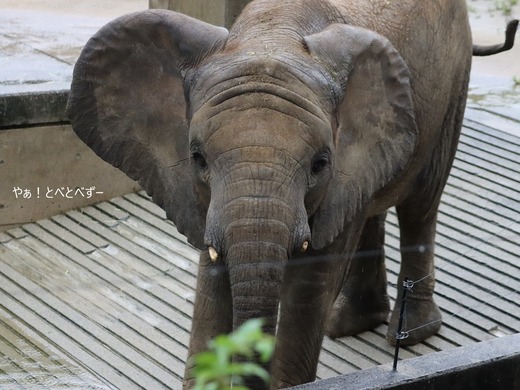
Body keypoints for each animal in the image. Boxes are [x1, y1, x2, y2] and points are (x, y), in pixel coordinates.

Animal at [67, 0, 516, 388]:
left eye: (319, 164)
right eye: (198, 159)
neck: (272, 38)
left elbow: (310, 282)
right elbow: (212, 279)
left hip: (453, 83)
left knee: (420, 203)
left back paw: (411, 332)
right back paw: (350, 324)